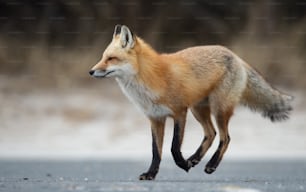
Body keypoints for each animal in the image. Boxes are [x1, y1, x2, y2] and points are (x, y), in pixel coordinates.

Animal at [88, 25, 292, 180]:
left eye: (111, 58)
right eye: (103, 57)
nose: (91, 71)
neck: (152, 79)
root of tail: (235, 56)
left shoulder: (180, 112)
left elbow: (173, 147)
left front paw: (182, 164)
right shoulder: (155, 118)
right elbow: (156, 151)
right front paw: (151, 174)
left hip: (218, 109)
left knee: (225, 138)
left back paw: (210, 165)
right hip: (198, 110)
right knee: (211, 134)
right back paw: (194, 159)